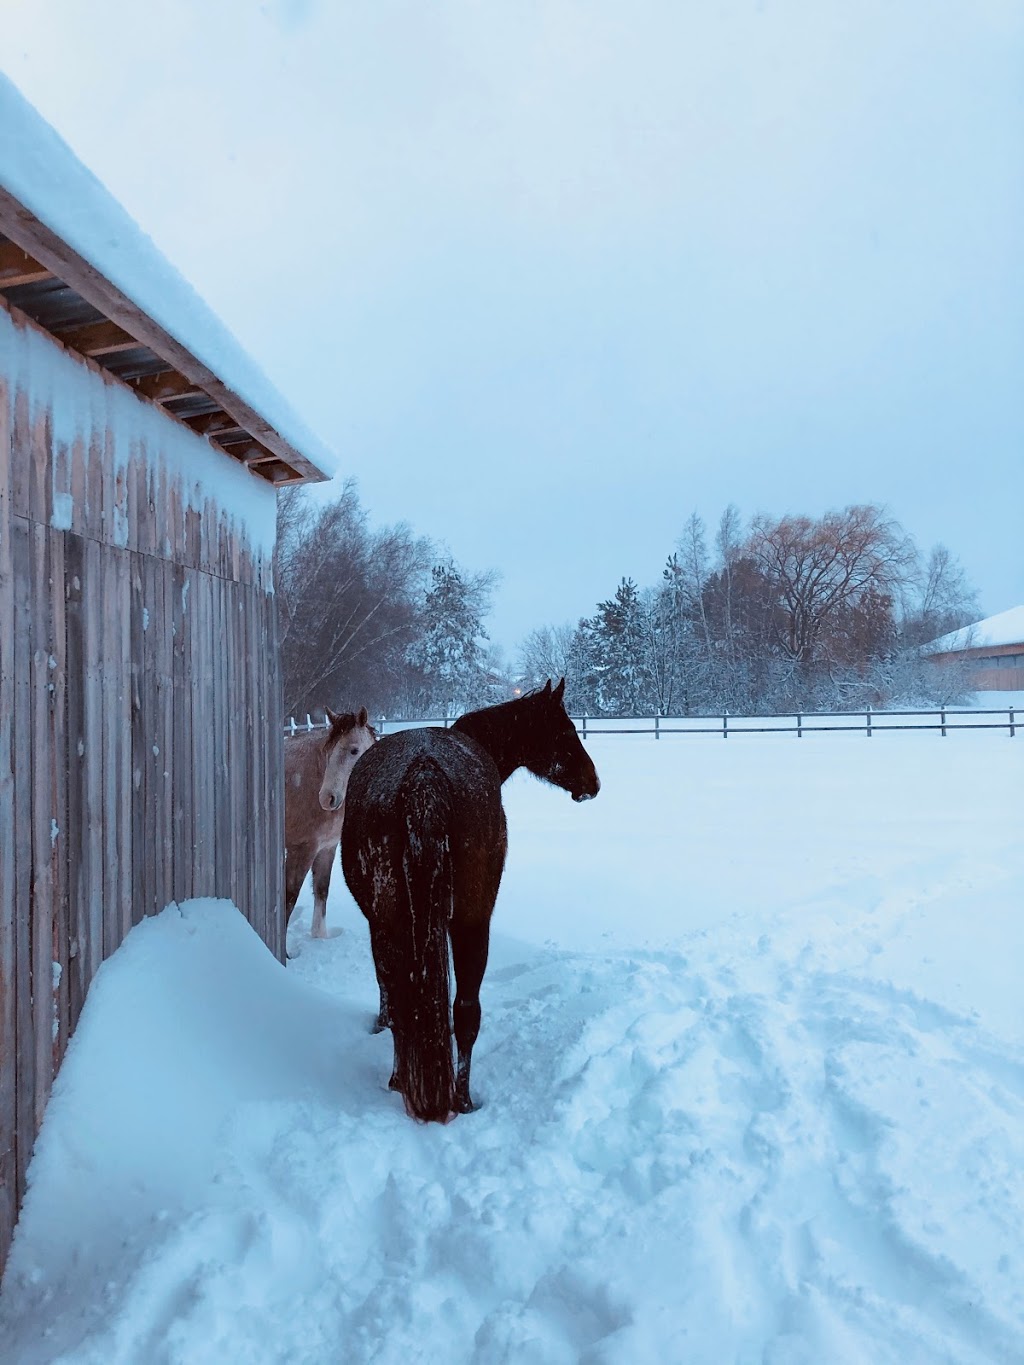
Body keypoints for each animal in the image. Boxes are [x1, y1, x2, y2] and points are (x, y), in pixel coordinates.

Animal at [285, 704, 376, 939]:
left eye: (354, 751)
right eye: (329, 751)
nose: (328, 798)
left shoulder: (327, 847)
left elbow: (321, 890)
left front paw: (320, 937)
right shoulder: (301, 849)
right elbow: (289, 898)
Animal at [342, 679, 600, 1119]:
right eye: (566, 731)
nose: (593, 783)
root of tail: (423, 776)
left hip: (416, 924)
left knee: (436, 1006)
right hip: (469, 923)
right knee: (460, 1011)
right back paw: (457, 1097)